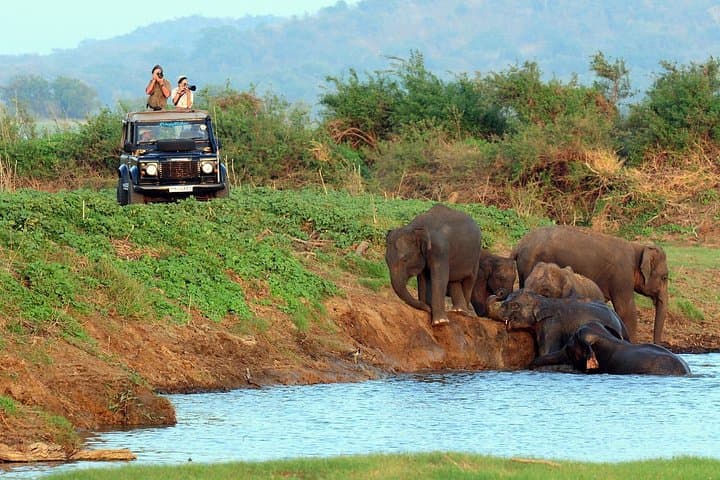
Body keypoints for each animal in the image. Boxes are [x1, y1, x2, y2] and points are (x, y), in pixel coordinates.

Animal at [511, 225, 669, 343]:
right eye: (665, 277)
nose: (658, 344)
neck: (639, 247)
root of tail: (519, 245)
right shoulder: (622, 277)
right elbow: (626, 310)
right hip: (529, 263)